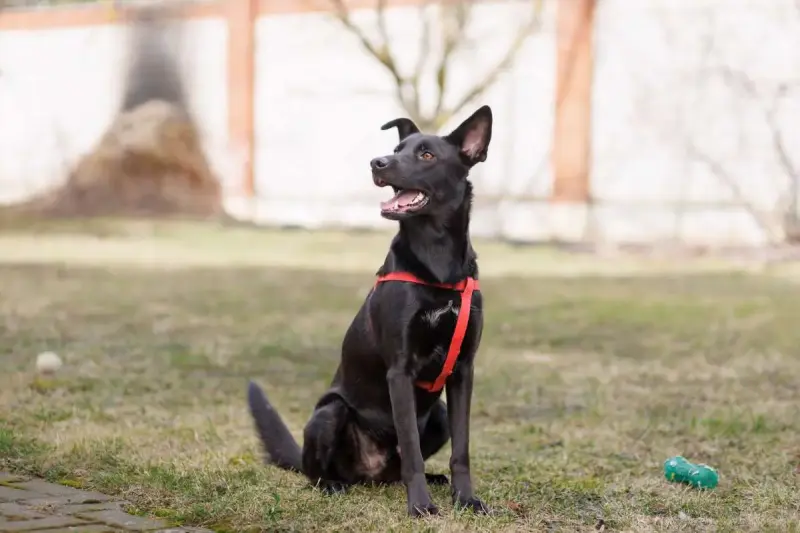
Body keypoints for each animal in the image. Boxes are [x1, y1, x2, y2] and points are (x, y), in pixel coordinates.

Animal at [247, 104, 490, 516]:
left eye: (427, 155)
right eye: (397, 148)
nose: (377, 163)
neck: (437, 258)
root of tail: (368, 473)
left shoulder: (463, 371)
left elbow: (462, 449)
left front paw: (466, 499)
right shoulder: (400, 370)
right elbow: (411, 448)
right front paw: (421, 507)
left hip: (438, 415)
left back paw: (432, 479)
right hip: (329, 413)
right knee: (316, 473)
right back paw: (332, 484)